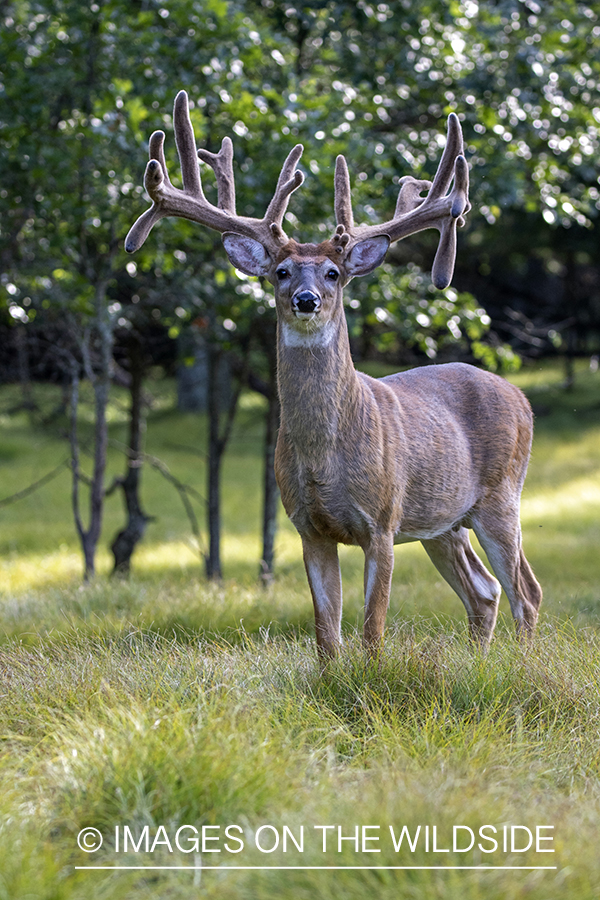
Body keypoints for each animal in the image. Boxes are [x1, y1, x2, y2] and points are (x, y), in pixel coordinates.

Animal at [124, 89, 540, 652]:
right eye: (281, 271)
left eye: (333, 272)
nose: (306, 299)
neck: (325, 455)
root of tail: (522, 398)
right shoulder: (308, 526)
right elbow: (327, 632)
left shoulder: (382, 521)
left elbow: (372, 629)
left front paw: (373, 673)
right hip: (443, 521)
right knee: (486, 590)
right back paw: (481, 660)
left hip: (501, 496)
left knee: (525, 591)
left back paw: (522, 661)